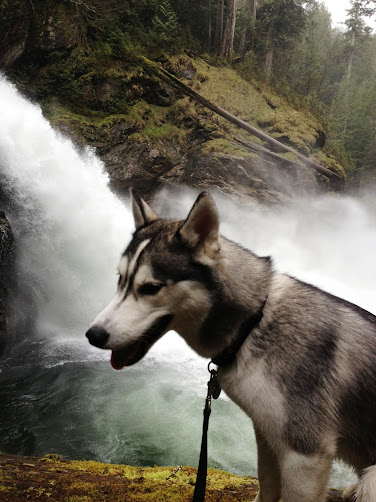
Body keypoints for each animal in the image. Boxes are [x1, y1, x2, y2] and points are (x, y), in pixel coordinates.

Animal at [86, 192, 376, 502]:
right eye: (120, 279)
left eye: (150, 287)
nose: (93, 335)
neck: (251, 325)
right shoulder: (267, 434)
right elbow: (267, 484)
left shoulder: (305, 453)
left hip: (371, 479)